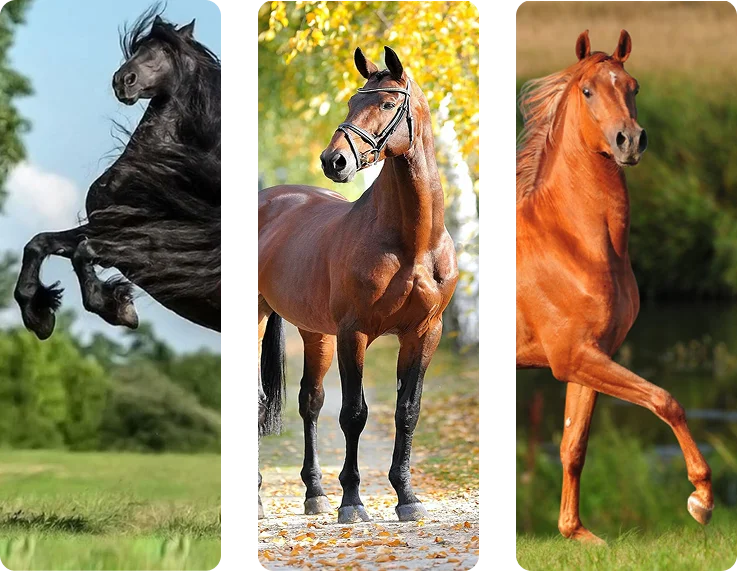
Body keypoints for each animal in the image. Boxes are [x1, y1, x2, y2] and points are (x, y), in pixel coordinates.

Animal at [14, 5, 223, 338]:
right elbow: (39, 243)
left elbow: (83, 251)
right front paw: (39, 315)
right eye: (138, 48)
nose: (123, 80)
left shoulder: (162, 249)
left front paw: (118, 308)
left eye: (167, 50)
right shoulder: (108, 226)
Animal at [257, 46, 458, 524]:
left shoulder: (425, 332)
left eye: (386, 104)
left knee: (310, 401)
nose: (334, 161)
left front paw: (407, 496)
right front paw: (352, 501)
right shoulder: (355, 332)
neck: (412, 243)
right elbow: (354, 414)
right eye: (351, 101)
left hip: (316, 333)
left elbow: (407, 411)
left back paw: (314, 493)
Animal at [515, 29, 713, 543]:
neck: (572, 243)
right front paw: (701, 500)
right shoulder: (574, 357)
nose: (630, 140)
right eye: (587, 91)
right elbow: (667, 401)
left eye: (633, 86)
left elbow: (573, 445)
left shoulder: (590, 356)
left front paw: (577, 534)